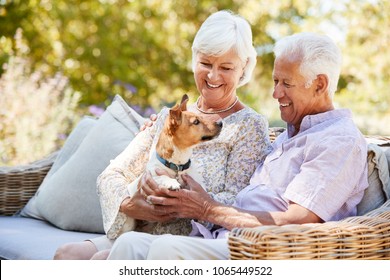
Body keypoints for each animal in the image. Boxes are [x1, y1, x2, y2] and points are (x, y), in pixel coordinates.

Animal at [119, 94, 222, 234]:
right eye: (196, 122)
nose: (221, 123)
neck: (178, 165)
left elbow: (202, 188)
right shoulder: (150, 177)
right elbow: (162, 176)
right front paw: (172, 183)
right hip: (128, 224)